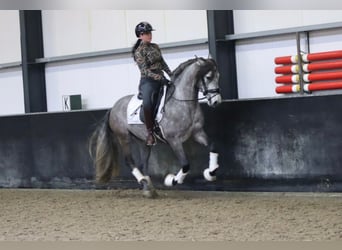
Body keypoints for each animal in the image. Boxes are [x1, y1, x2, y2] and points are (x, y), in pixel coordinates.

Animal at [88, 56, 222, 197]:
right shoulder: (174, 140)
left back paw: (148, 188)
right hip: (123, 137)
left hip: (143, 141)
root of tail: (113, 107)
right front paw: (171, 180)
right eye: (208, 77)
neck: (182, 103)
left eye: (218, 76)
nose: (216, 101)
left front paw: (210, 173)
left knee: (144, 164)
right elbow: (186, 165)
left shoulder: (198, 133)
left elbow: (213, 147)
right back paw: (143, 181)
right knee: (129, 161)